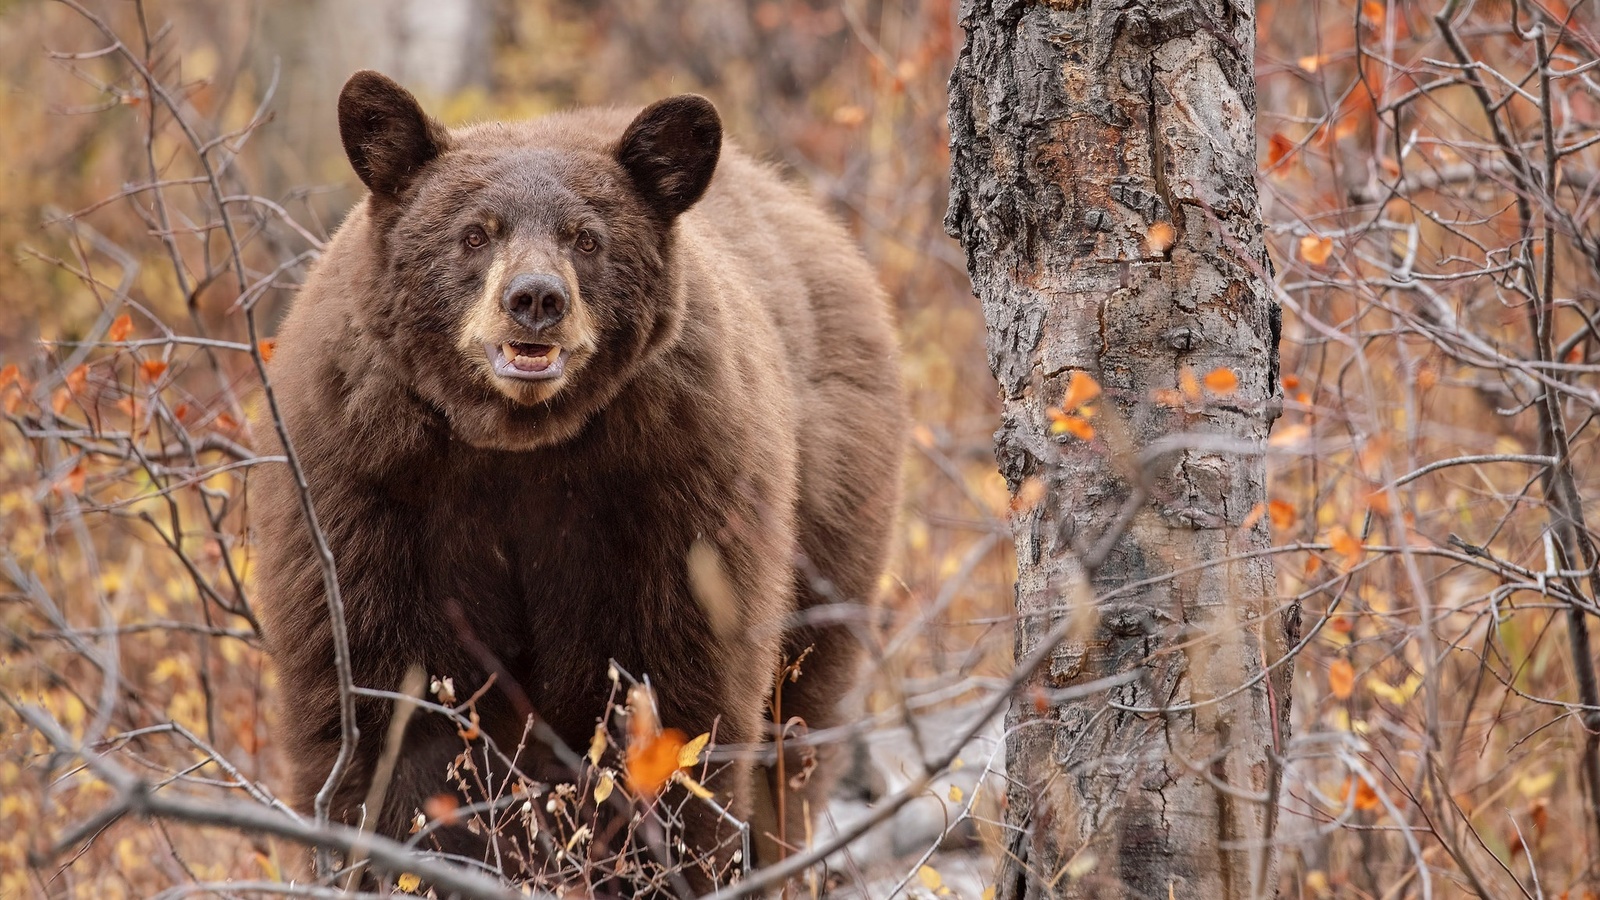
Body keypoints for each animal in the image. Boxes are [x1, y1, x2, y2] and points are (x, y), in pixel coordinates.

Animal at [249, 71, 902, 890]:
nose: (535, 299)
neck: (517, 445)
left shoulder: (673, 491)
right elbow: (387, 710)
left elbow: (677, 702)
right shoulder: (367, 489)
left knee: (795, 738)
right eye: (475, 232)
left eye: (586, 238)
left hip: (832, 517)